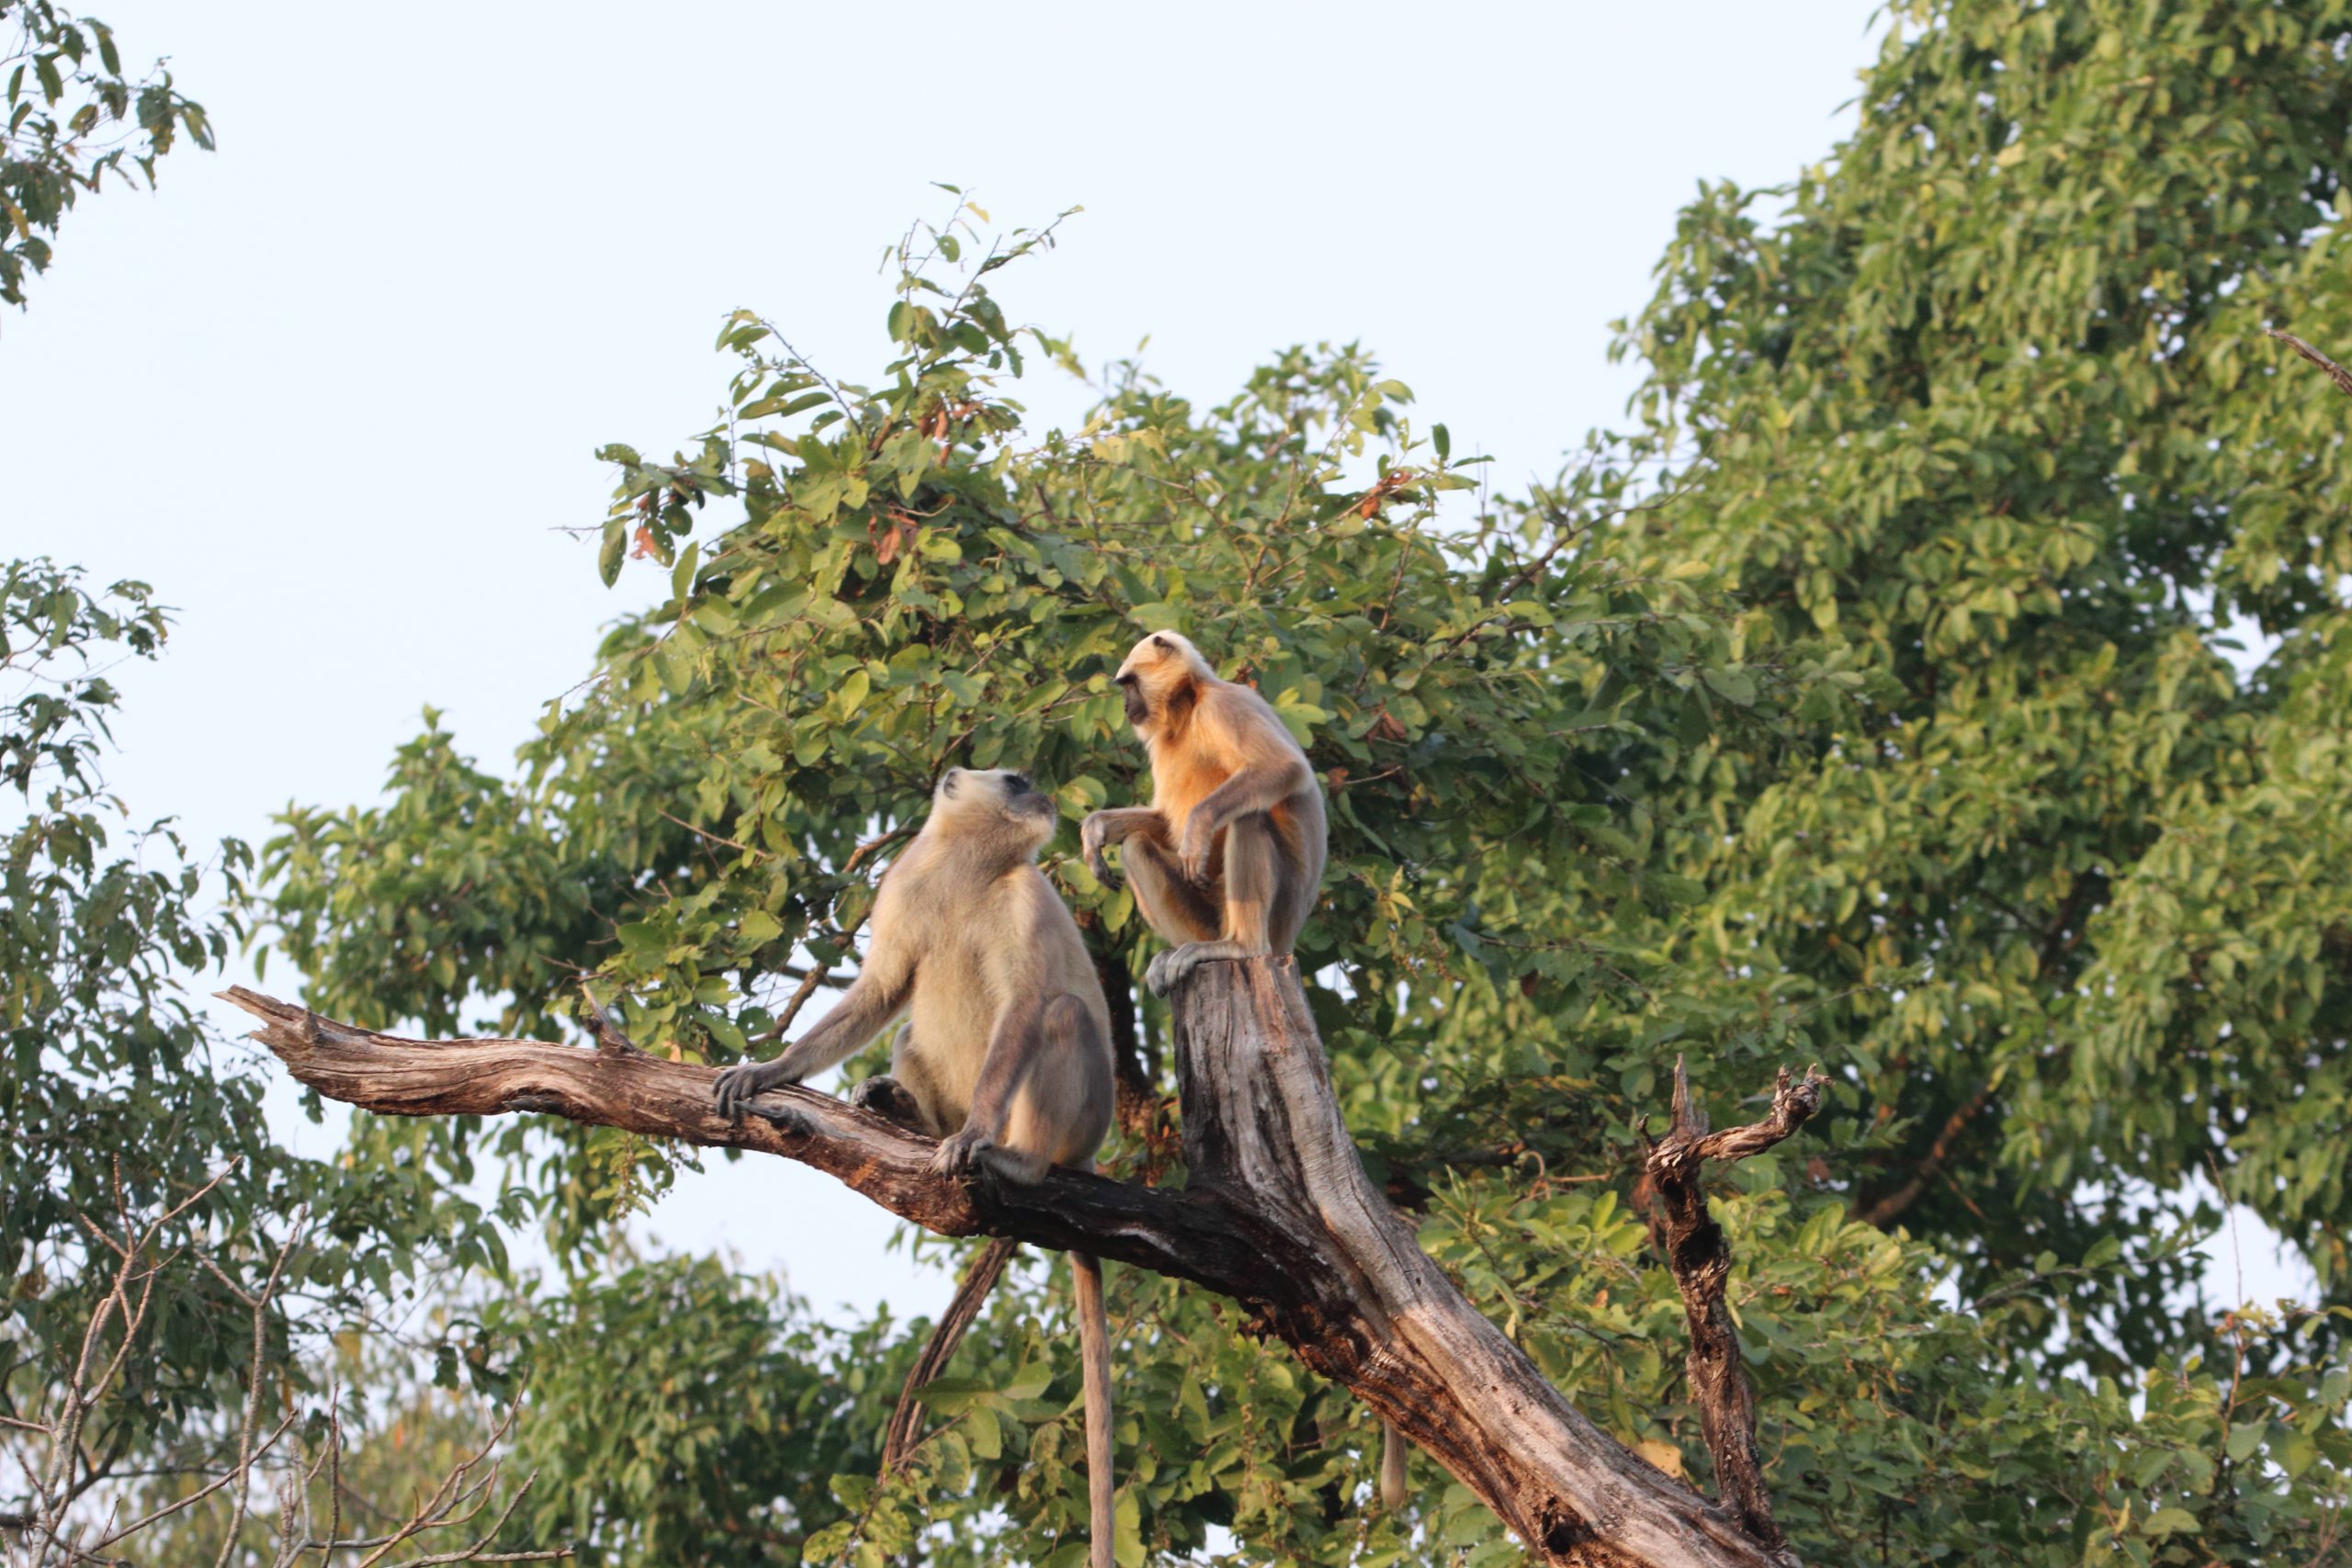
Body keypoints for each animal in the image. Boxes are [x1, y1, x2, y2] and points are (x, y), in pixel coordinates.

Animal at [706, 771, 1119, 1568]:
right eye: (1017, 782)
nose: (1046, 799)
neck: (966, 870)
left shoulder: (1026, 893)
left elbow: (1023, 1004)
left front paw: (977, 1140)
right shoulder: (900, 888)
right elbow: (881, 990)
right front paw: (770, 1068)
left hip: (1081, 1117)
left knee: (1058, 1014)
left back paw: (1016, 1158)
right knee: (907, 1034)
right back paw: (902, 1111)